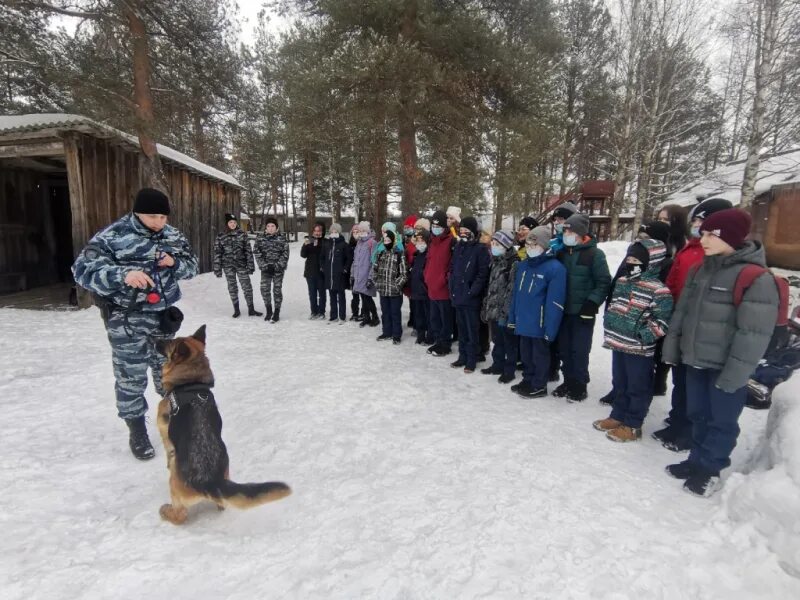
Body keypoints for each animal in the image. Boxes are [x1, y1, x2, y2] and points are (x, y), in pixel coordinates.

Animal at [153, 324, 290, 524]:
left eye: (170, 342)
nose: (153, 339)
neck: (191, 382)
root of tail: (211, 482)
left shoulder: (162, 424)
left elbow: (167, 445)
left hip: (174, 487)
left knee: (181, 515)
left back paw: (166, 511)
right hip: (226, 474)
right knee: (223, 503)